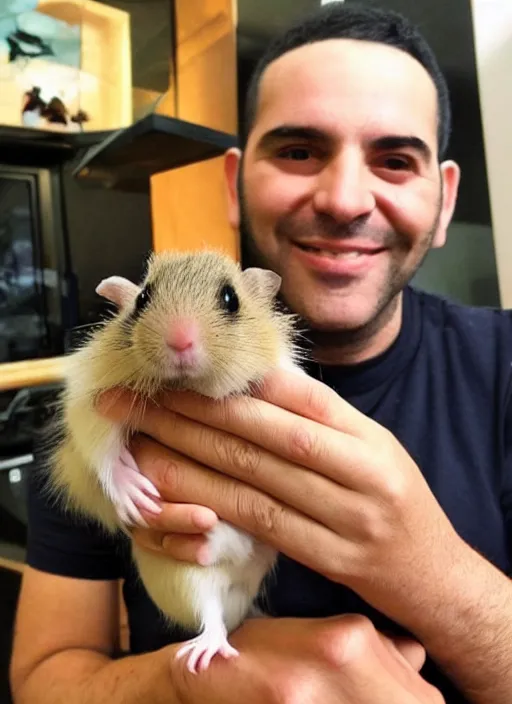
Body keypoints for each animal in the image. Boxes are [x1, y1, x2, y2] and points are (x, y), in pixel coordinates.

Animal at [45, 250, 304, 672]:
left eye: (231, 299)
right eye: (143, 299)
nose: (180, 341)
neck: (186, 386)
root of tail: (240, 600)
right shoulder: (90, 402)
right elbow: (103, 450)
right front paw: (133, 497)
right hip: (189, 581)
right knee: (211, 616)